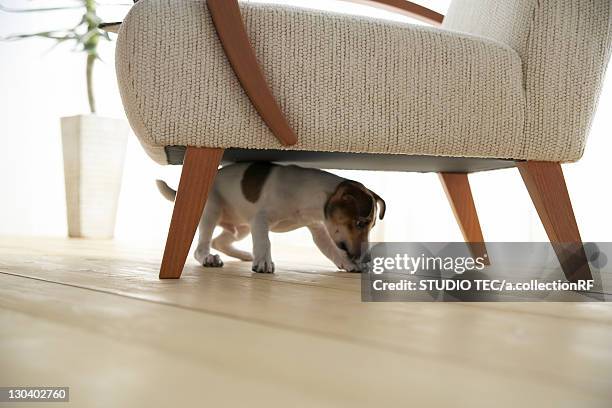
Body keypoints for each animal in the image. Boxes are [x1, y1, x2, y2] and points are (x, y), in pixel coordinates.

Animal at [158, 163, 388, 274]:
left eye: (371, 226)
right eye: (359, 223)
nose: (366, 258)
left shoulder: (318, 229)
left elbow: (332, 249)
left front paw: (347, 264)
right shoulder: (260, 220)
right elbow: (264, 241)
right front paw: (263, 262)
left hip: (241, 227)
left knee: (220, 241)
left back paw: (244, 255)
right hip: (211, 211)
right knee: (203, 245)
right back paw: (209, 258)